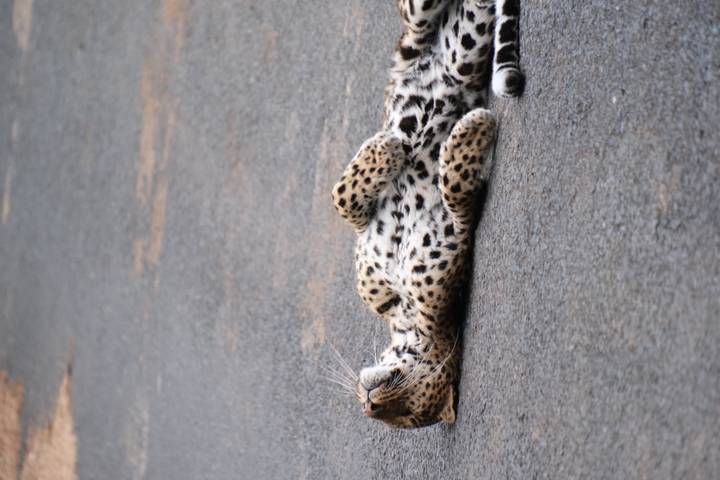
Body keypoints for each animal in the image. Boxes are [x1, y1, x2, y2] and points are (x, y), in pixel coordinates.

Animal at [331, 0, 524, 428]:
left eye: (407, 414)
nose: (368, 404)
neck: (404, 318)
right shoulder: (368, 258)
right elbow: (343, 199)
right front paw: (386, 148)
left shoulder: (453, 245)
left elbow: (455, 191)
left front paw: (473, 128)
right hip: (427, 25)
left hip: (464, 45)